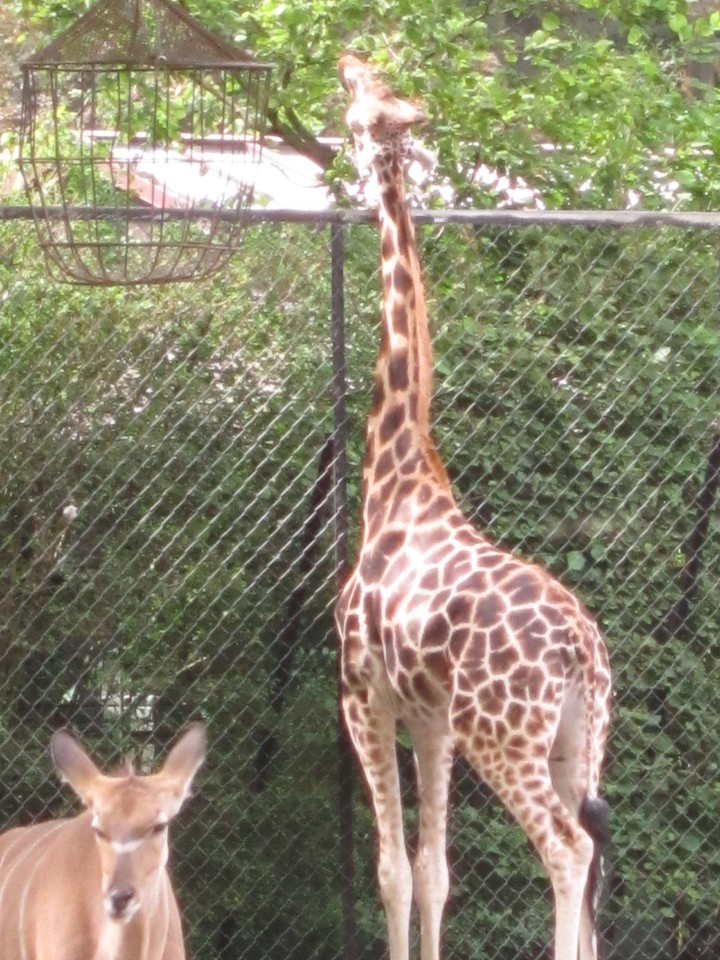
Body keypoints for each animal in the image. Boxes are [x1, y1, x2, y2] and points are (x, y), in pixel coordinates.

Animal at [334, 54, 612, 960]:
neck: (394, 471)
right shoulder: (431, 719)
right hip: (576, 740)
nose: (347, 59)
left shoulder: (363, 692)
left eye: (363, 100)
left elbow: (391, 869)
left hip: (508, 738)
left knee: (568, 850)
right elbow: (434, 871)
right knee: (596, 853)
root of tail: (583, 651)